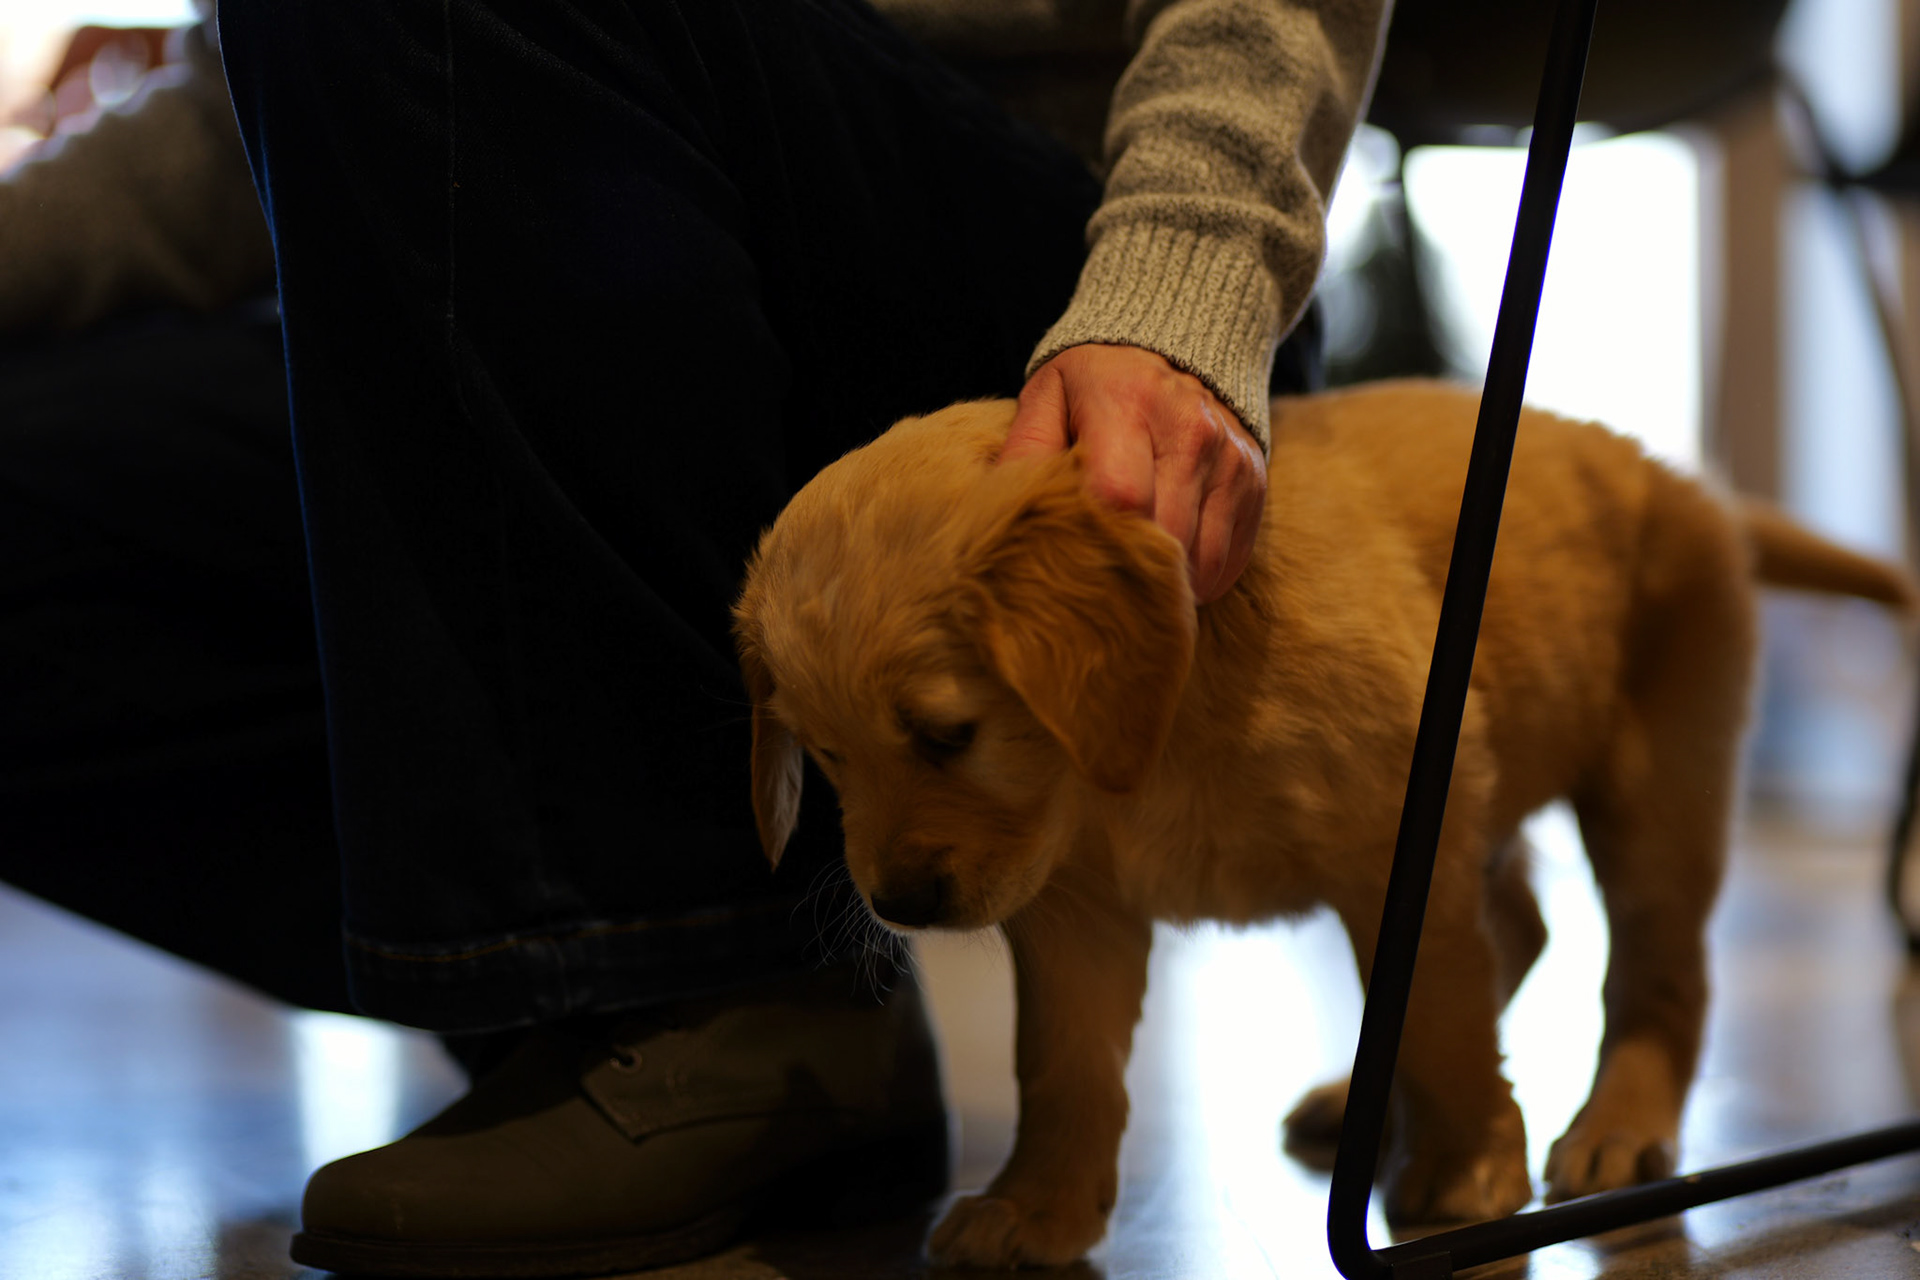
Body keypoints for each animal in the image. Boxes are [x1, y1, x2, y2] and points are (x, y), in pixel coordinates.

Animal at [732, 379, 1914, 1268]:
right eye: (825, 755)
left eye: (947, 733)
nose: (900, 902)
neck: (1153, 733)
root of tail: (1676, 477)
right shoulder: (1071, 904)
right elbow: (1061, 1064)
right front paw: (1038, 1207)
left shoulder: (1402, 830)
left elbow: (1438, 1011)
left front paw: (1464, 1166)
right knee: (1523, 926)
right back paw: (1359, 1095)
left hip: (1659, 782)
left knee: (1654, 973)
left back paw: (1618, 1123)